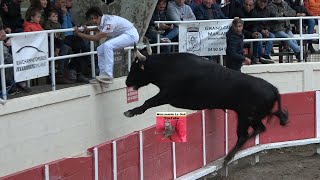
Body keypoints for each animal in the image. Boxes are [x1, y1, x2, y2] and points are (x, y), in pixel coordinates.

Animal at [124, 45, 288, 166]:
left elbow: (149, 101)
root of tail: (273, 88)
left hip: (246, 117)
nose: (127, 82)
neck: (168, 67)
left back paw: (227, 158)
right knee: (257, 129)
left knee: (246, 134)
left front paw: (131, 111)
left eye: (136, 67)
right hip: (247, 116)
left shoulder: (168, 94)